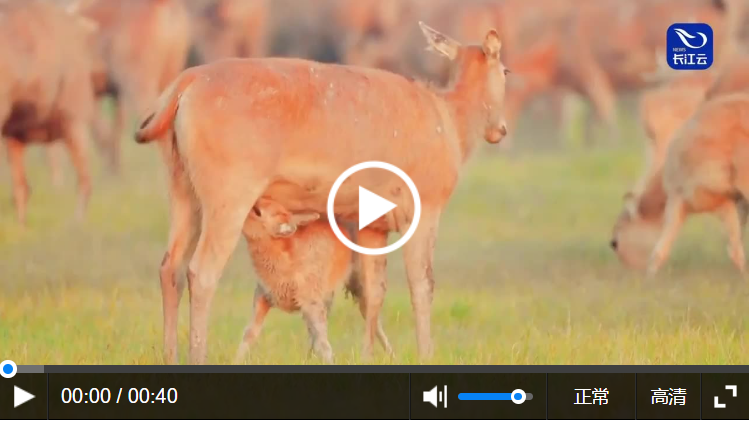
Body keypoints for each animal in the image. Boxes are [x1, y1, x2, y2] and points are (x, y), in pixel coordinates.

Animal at [235, 199, 394, 362]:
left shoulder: (312, 304)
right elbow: (249, 335)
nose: (257, 199)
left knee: (373, 321)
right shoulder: (263, 297)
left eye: (259, 210)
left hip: (364, 289)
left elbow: (323, 344)